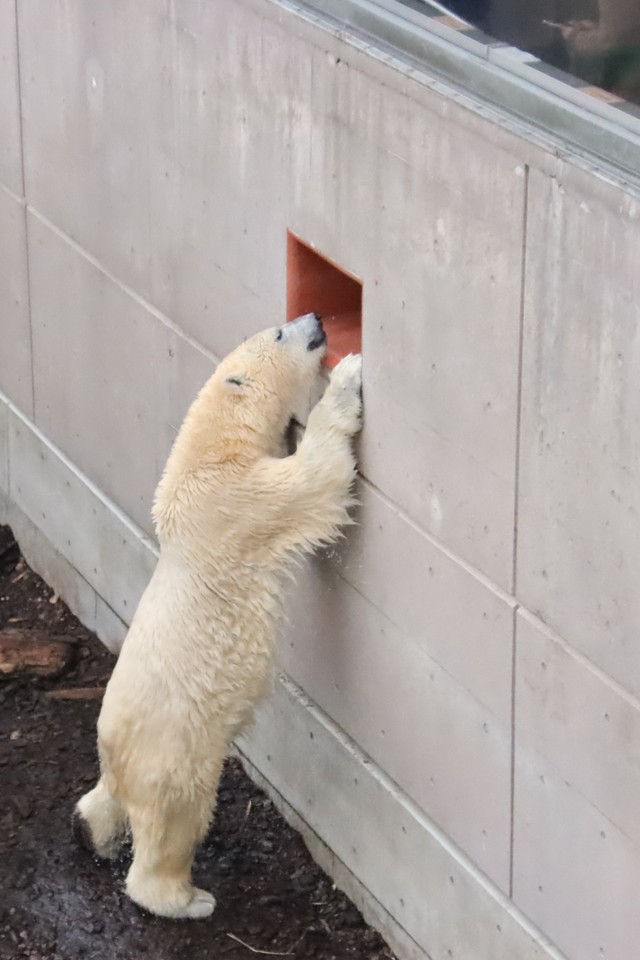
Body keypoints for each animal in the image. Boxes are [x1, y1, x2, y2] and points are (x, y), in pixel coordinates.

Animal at [73, 312, 362, 920]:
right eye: (279, 332)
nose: (316, 318)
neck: (203, 454)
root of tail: (120, 760)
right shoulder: (242, 501)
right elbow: (318, 477)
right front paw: (349, 377)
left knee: (104, 801)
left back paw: (90, 833)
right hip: (176, 756)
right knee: (175, 823)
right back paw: (187, 899)